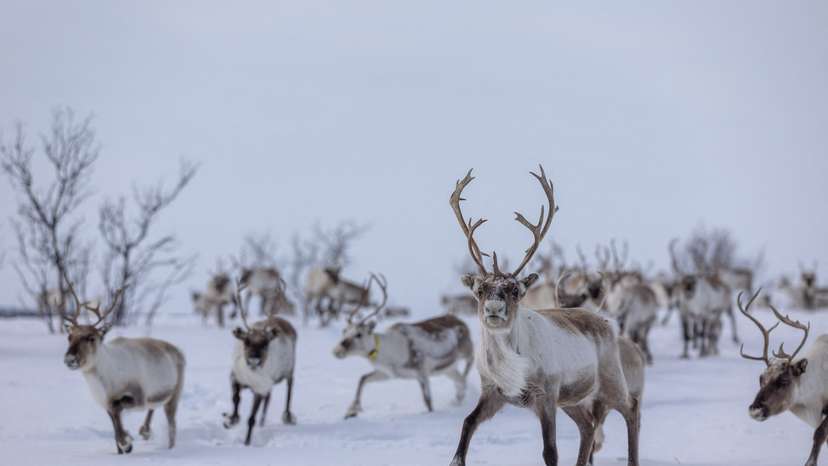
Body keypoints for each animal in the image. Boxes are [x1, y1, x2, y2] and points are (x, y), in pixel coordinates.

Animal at [61, 277, 185, 454]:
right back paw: (145, 431)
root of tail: (177, 351)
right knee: (153, 408)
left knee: (172, 425)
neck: (106, 381)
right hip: (158, 396)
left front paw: (126, 442)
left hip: (174, 395)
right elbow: (114, 420)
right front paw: (122, 447)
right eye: (69, 337)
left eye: (91, 337)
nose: (70, 359)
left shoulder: (138, 397)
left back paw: (168, 447)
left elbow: (117, 409)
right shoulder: (105, 404)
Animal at [222, 280, 298, 446]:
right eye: (246, 342)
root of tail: (283, 320)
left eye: (265, 343)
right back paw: (262, 422)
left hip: (289, 371)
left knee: (289, 391)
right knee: (268, 399)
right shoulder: (235, 377)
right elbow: (235, 399)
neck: (250, 376)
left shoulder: (260, 388)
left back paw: (287, 415)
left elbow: (251, 418)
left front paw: (247, 442)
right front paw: (231, 420)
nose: (254, 360)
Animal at [333, 273, 474, 419]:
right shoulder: (389, 374)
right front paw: (351, 411)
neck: (391, 351)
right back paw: (458, 399)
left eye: (359, 334)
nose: (337, 350)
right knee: (461, 380)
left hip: (468, 352)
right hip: (448, 369)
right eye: (344, 330)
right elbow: (363, 378)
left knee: (467, 371)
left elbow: (428, 401)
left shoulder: (422, 371)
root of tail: (460, 320)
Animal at [448, 166, 640, 466]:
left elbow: (550, 452)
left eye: (515, 290)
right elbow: (467, 425)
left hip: (610, 382)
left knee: (630, 408)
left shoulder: (547, 396)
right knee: (588, 426)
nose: (493, 309)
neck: (510, 365)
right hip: (572, 399)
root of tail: (604, 321)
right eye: (480, 290)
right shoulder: (493, 392)